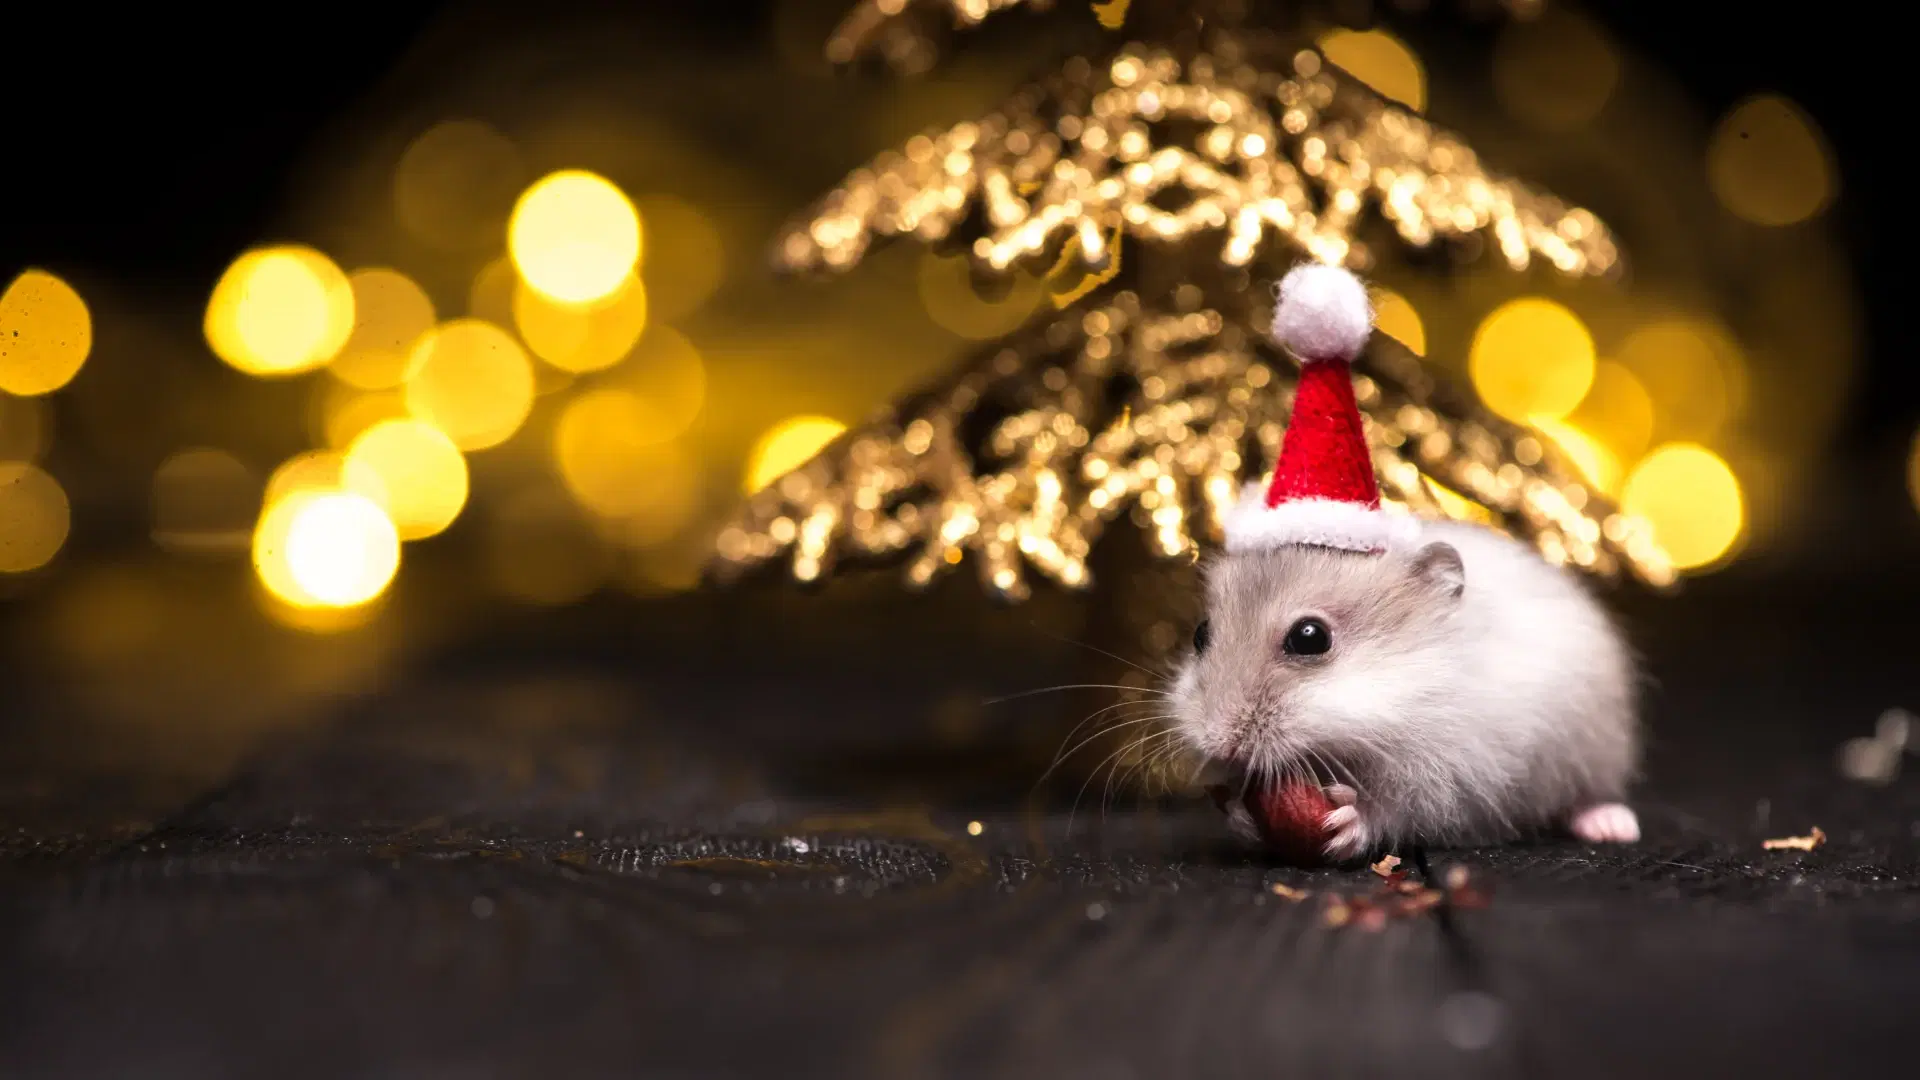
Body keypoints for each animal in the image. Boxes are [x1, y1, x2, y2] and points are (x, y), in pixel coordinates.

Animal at [1159, 511, 1643, 857]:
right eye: (1201, 634)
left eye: (1310, 637)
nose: (1219, 743)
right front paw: (1242, 816)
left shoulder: (1455, 778)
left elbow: (1394, 808)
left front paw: (1346, 822)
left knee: (1592, 795)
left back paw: (1613, 827)